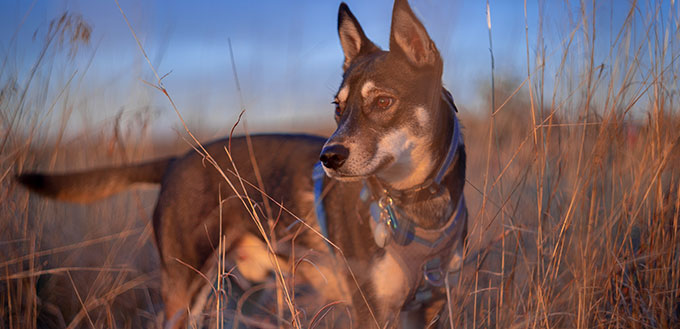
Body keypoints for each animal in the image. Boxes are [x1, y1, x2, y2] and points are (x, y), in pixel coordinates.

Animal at [19, 1, 468, 326]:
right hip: (186, 287)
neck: (416, 207)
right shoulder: (370, 310)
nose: (329, 157)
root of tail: (177, 160)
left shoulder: (427, 309)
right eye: (338, 108)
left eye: (383, 102)